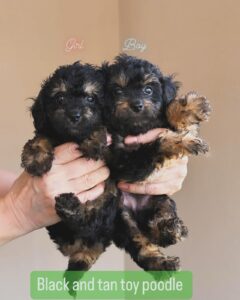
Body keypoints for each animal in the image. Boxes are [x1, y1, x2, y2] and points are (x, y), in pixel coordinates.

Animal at [21, 62, 119, 290]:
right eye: (60, 98)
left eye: (91, 98)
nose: (75, 115)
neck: (70, 137)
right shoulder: (49, 129)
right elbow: (42, 136)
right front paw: (36, 157)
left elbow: (101, 128)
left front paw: (93, 139)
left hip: (107, 205)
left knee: (90, 220)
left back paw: (71, 207)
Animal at [102, 54, 211, 272]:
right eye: (117, 91)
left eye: (148, 90)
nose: (137, 105)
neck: (136, 128)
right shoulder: (124, 162)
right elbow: (159, 142)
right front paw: (184, 142)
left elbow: (171, 118)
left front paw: (191, 107)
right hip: (123, 218)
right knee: (142, 246)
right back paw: (163, 260)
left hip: (161, 200)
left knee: (156, 228)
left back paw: (170, 229)